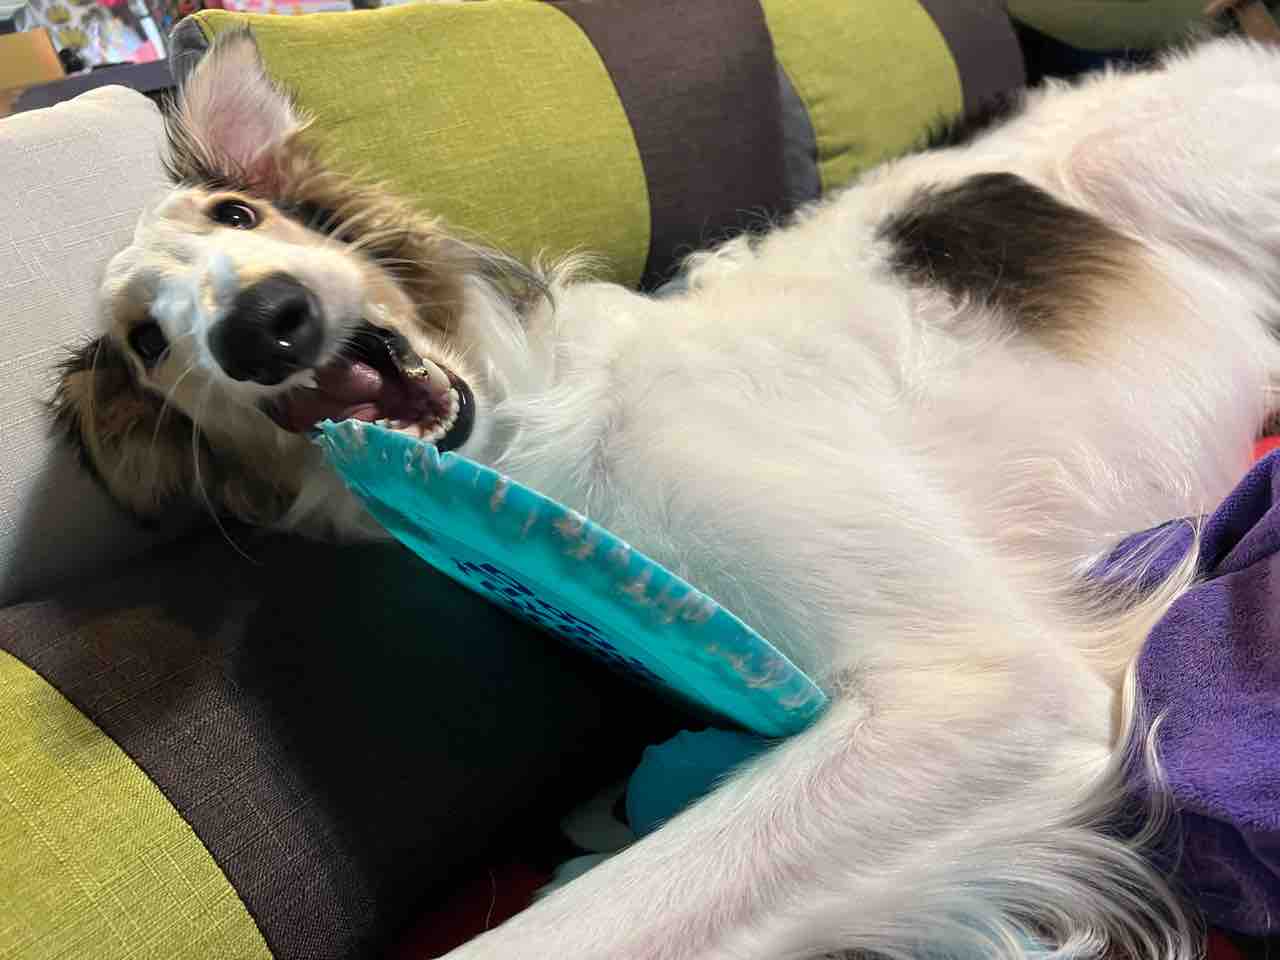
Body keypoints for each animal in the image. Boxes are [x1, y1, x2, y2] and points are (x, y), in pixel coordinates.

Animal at [53, 28, 1280, 960]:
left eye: (238, 216)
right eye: (149, 343)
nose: (263, 327)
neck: (537, 431)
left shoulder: (983, 685)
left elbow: (550, 936)